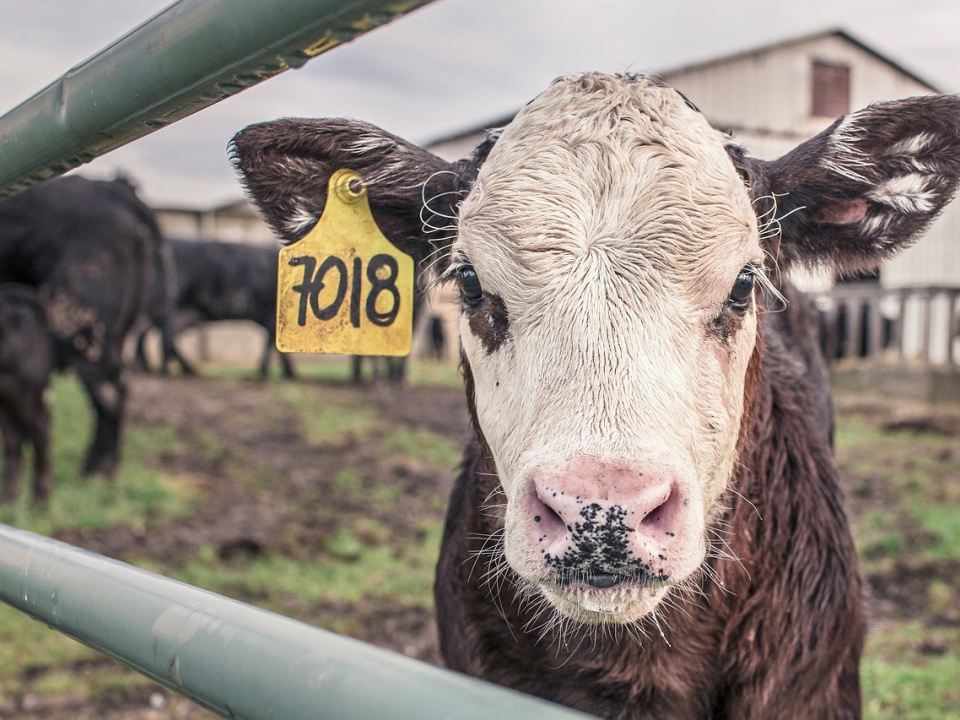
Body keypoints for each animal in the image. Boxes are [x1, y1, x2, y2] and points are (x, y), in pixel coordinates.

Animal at [0, 175, 169, 478]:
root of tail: (111, 188)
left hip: (80, 323)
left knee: (107, 391)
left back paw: (97, 467)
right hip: (117, 333)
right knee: (119, 384)